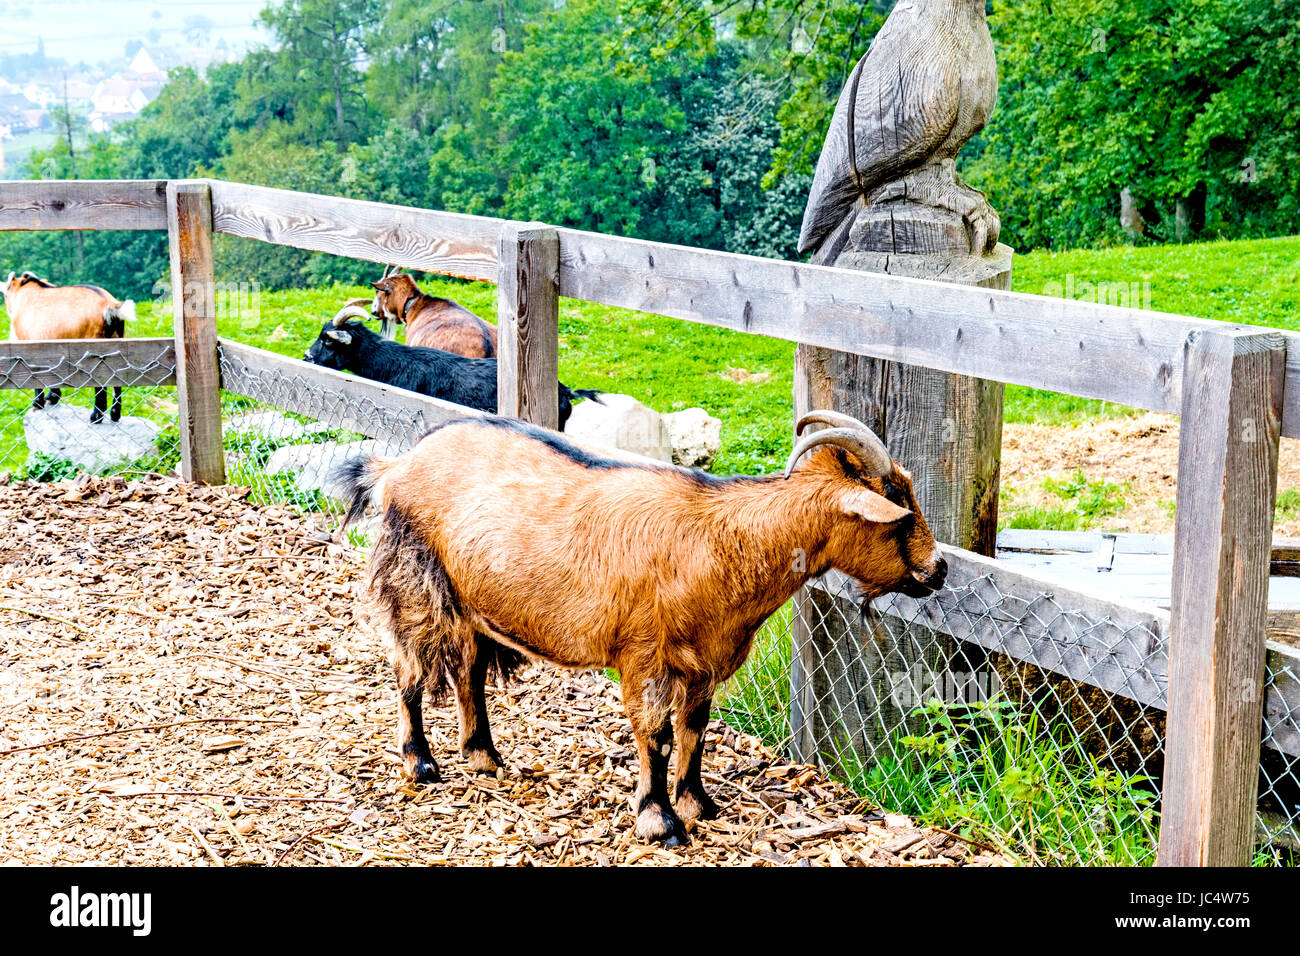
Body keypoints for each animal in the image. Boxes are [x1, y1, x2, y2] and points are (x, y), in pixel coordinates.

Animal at [2, 269, 134, 418]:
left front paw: (38, 403)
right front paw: (52, 397)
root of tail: (110, 306)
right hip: (116, 343)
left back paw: (96, 416)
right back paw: (115, 414)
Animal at [335, 411, 946, 842]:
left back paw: (484, 756)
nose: (938, 569)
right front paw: (660, 822)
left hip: (473, 600)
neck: (720, 542)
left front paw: (699, 803)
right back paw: (421, 763)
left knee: (470, 670)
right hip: (415, 578)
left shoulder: (703, 663)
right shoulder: (644, 655)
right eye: (898, 513)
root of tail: (395, 467)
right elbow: (654, 735)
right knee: (409, 668)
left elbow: (694, 730)